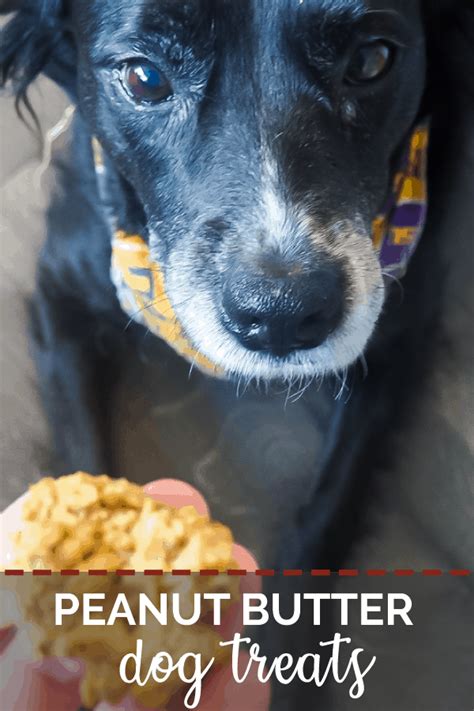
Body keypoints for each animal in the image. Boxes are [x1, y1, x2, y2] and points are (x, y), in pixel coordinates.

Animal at [0, 0, 468, 572]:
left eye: (370, 60)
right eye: (144, 78)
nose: (280, 316)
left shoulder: (398, 339)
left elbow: (326, 515)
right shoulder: (61, 290)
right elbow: (80, 464)